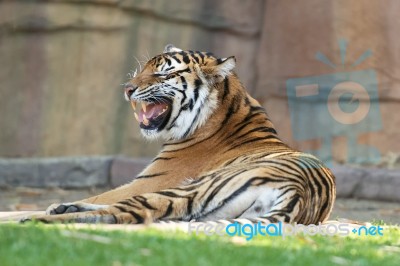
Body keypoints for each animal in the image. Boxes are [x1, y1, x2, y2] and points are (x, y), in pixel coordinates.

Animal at [25, 44, 334, 224]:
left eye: (162, 74)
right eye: (141, 70)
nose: (127, 89)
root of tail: (299, 193)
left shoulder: (150, 180)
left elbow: (106, 195)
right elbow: (102, 196)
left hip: (189, 190)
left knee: (123, 213)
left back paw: (37, 219)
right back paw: (61, 210)